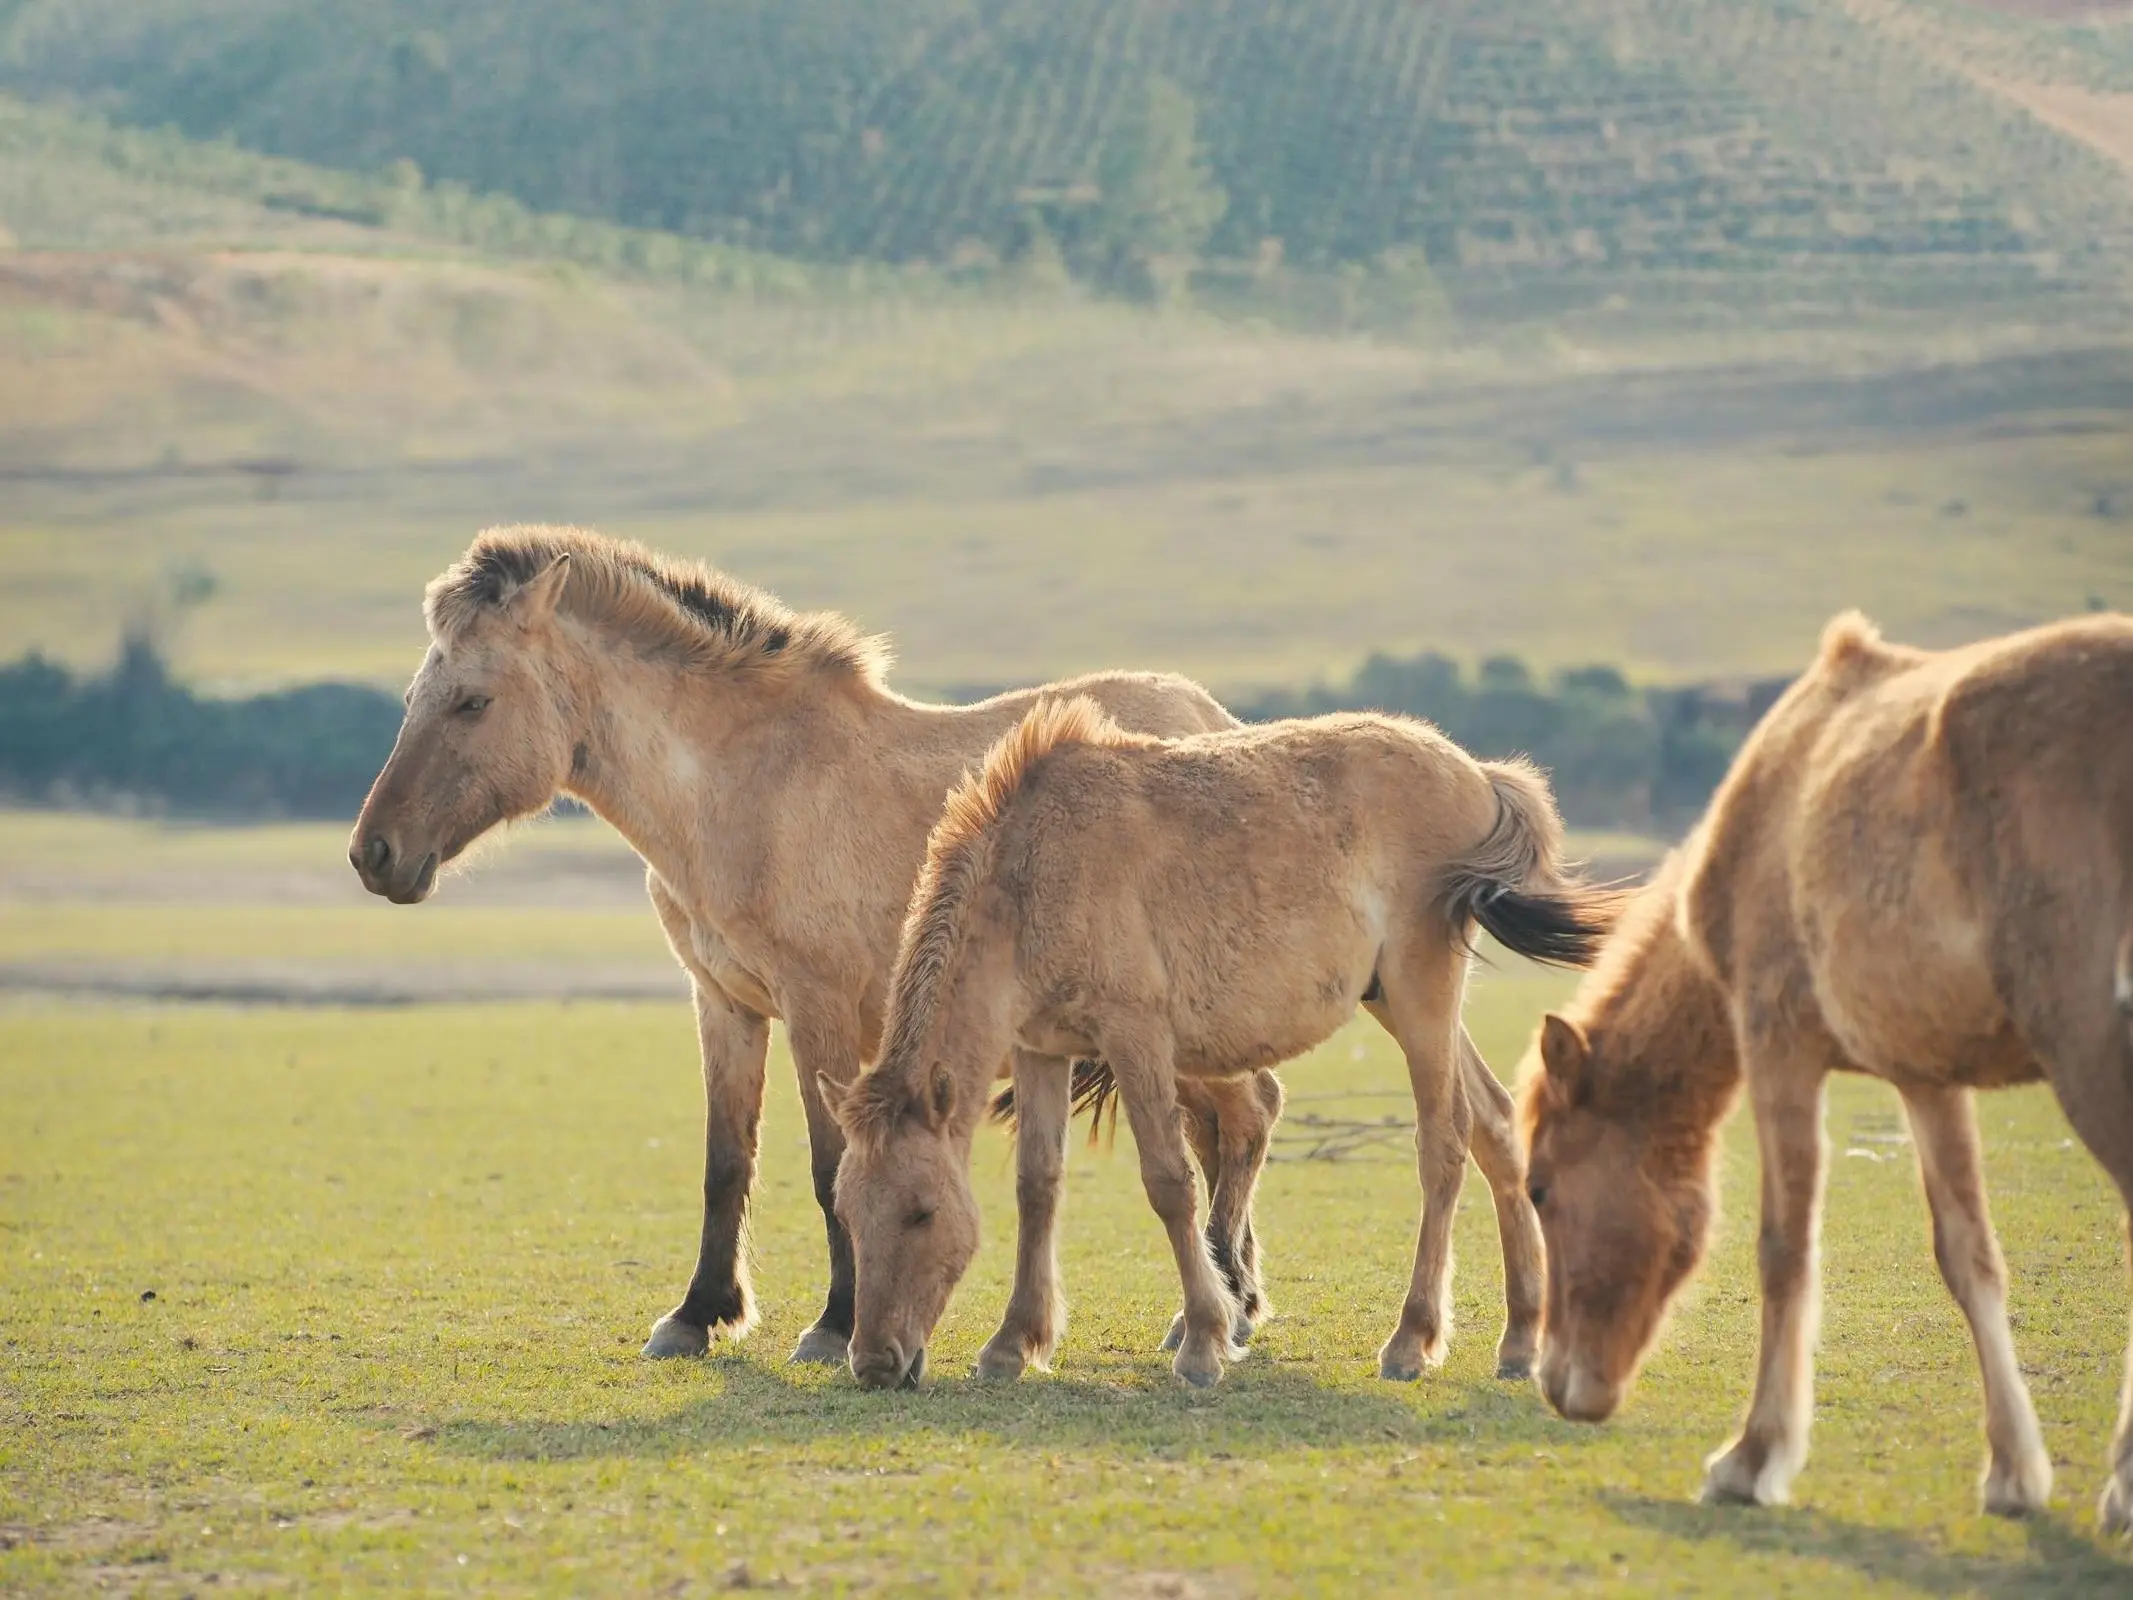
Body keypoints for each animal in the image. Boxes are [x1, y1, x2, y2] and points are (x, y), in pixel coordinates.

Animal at [347, 526, 1288, 1365]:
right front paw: (698, 1314)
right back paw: (1228, 1304)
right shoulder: (724, 1004)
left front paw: (833, 1326)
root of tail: (1211, 718)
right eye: (412, 700)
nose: (374, 853)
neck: (744, 787)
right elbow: (725, 1163)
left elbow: (827, 1167)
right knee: (1237, 1123)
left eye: (472, 700)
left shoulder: (819, 1011)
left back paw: (1218, 1313)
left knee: (1244, 1119)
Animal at [823, 699, 1604, 1390]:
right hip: (1394, 1001)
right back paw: (1519, 1338)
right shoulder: (1041, 1050)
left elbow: (1170, 1184)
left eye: (921, 1212)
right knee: (1496, 1124)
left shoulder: (1136, 1040)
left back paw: (1410, 1340)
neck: (1032, 873)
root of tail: (1477, 775)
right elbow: (1036, 1186)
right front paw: (1014, 1343)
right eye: (849, 1213)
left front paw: (1203, 1340)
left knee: (1443, 1143)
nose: (876, 1363)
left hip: (1421, 994)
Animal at [1527, 605, 2133, 1536]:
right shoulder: (1926, 1077)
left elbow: (1784, 1251)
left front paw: (1751, 1458)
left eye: (1539, 1188)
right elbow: (1968, 1257)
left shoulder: (1778, 1045)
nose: (1556, 1382)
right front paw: (2011, 1470)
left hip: (2085, 1045)